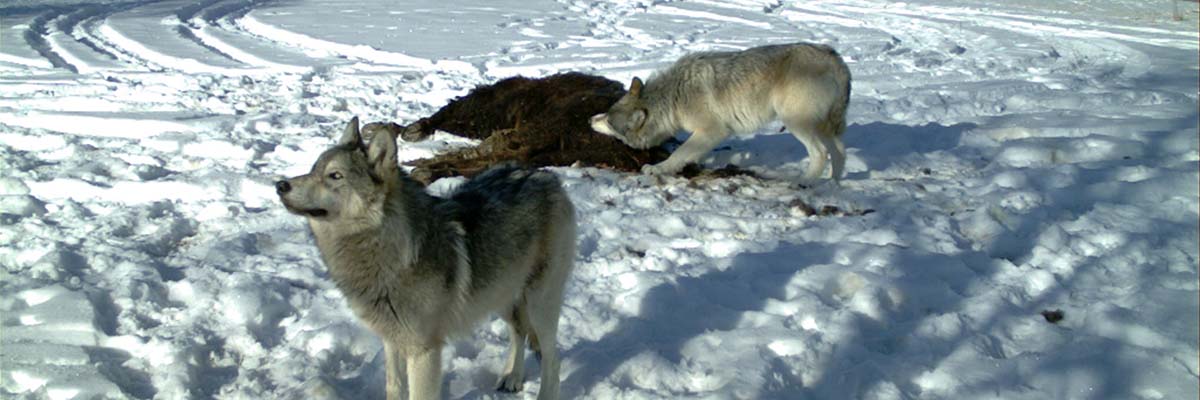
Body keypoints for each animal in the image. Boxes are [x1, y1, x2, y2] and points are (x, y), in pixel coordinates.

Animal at [276, 118, 576, 400]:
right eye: (314, 169)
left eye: (334, 176)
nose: (280, 185)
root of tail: (545, 175)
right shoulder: (392, 341)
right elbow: (394, 388)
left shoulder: (424, 352)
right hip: (501, 294)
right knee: (519, 332)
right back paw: (512, 377)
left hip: (538, 304)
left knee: (553, 359)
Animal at [590, 42, 852, 180]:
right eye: (606, 113)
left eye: (609, 123)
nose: (590, 119)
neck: (673, 98)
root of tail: (834, 56)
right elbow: (690, 152)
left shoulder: (713, 131)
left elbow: (679, 153)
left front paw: (658, 168)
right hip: (824, 128)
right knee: (839, 153)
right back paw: (833, 185)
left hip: (797, 123)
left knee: (820, 153)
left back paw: (805, 184)